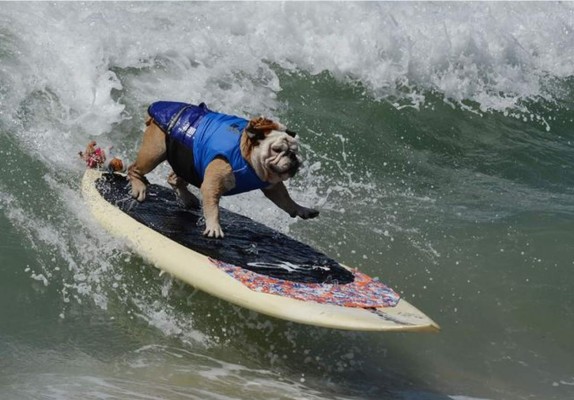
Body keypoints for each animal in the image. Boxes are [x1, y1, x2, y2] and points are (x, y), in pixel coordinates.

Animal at [126, 102, 322, 238]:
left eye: (295, 150)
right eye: (277, 149)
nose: (292, 156)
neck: (245, 155)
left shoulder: (273, 186)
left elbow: (286, 200)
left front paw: (301, 209)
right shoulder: (212, 185)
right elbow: (213, 207)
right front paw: (214, 227)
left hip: (187, 159)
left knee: (174, 177)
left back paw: (186, 197)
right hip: (154, 153)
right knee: (134, 168)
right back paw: (139, 186)